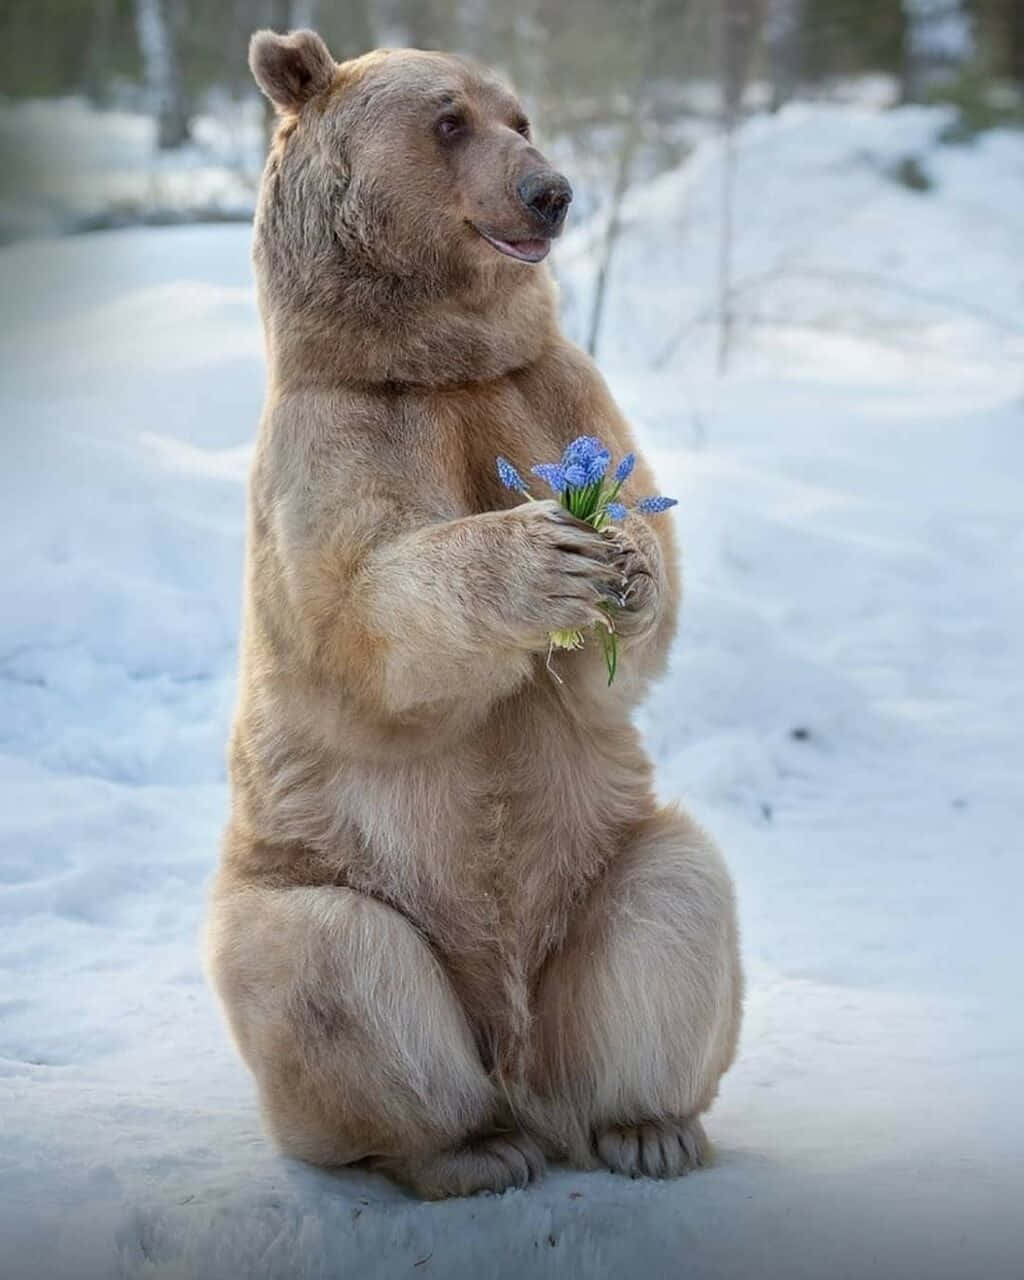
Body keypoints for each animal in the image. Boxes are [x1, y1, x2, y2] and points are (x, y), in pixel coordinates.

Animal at [204, 27, 743, 1200]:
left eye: (521, 115)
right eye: (447, 120)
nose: (550, 191)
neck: (437, 361)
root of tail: (521, 1068)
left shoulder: (550, 384)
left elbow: (640, 595)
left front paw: (625, 562)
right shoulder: (338, 433)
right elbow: (362, 608)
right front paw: (545, 553)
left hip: (598, 876)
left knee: (674, 899)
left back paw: (648, 1128)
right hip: (326, 886)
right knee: (336, 967)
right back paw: (467, 1150)